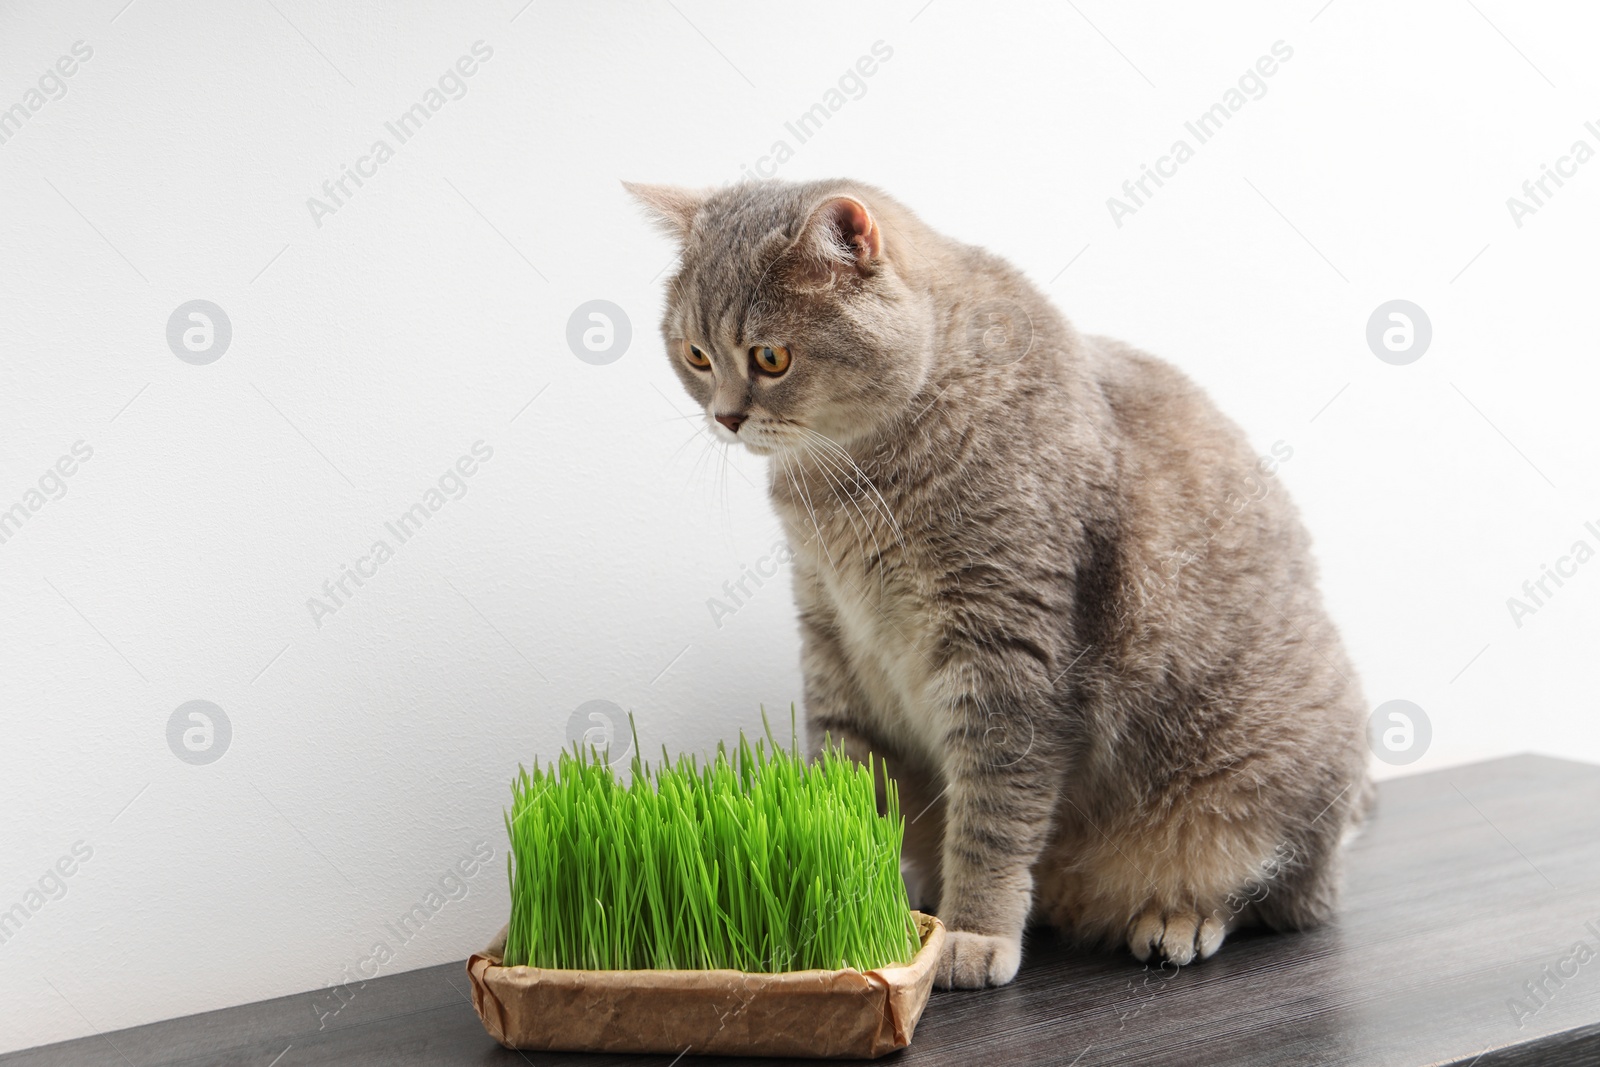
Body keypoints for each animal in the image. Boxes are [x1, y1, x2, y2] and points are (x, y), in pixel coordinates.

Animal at [624, 179, 1376, 991]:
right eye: (696, 355)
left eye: (770, 356)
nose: (725, 416)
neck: (849, 482)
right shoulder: (832, 639)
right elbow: (848, 797)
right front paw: (860, 920)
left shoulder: (1007, 654)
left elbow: (992, 816)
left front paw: (971, 932)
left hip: (1260, 786)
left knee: (1268, 890)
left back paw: (1178, 918)